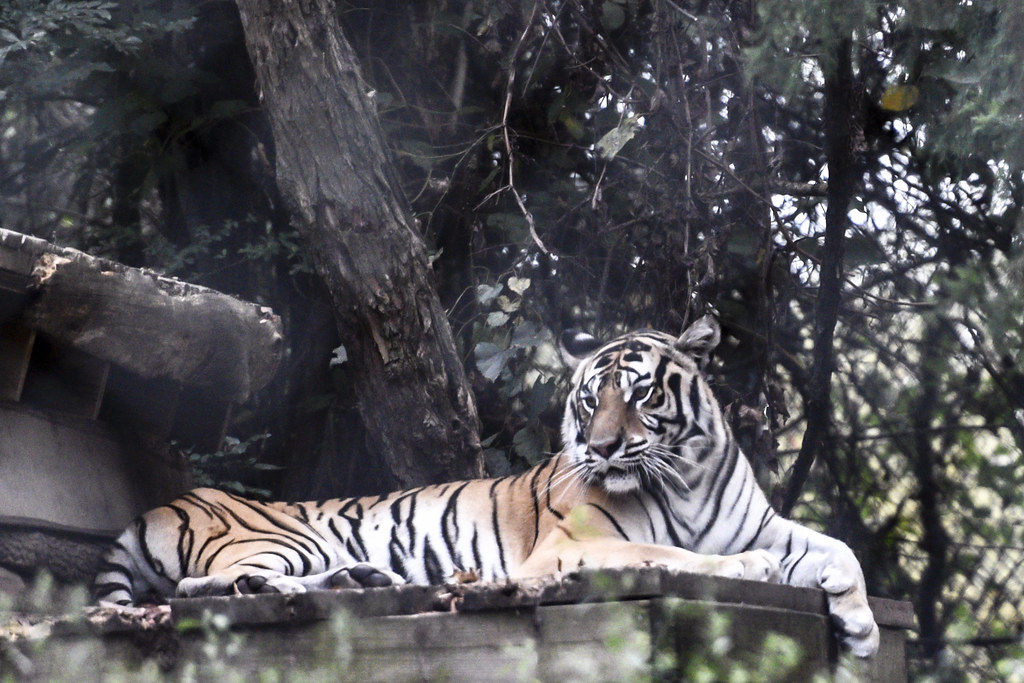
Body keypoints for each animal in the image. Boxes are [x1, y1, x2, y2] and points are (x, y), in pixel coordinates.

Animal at [96, 315, 880, 655]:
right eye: (590, 400)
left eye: (639, 393)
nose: (601, 447)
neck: (684, 472)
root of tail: (168, 501)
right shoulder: (570, 549)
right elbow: (676, 557)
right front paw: (753, 570)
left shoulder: (763, 521)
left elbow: (841, 548)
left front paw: (862, 627)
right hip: (276, 537)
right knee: (199, 588)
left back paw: (362, 579)